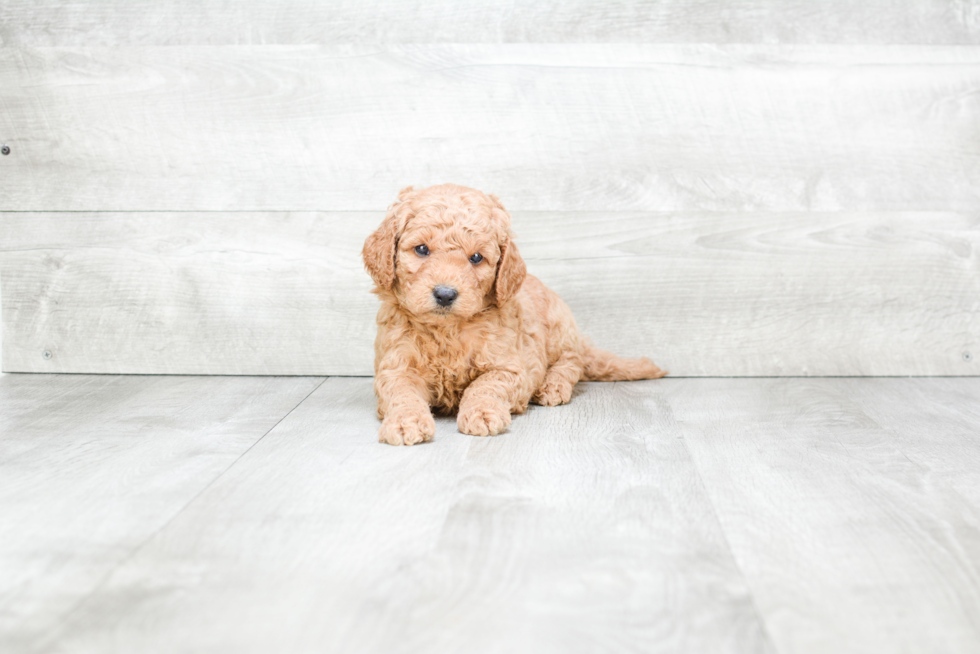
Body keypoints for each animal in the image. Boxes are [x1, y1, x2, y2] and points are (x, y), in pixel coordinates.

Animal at [364, 184, 668, 446]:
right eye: (422, 249)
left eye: (476, 258)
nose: (445, 294)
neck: (447, 330)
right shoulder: (395, 366)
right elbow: (402, 392)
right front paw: (405, 422)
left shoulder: (510, 368)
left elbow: (485, 385)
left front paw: (482, 413)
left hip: (560, 328)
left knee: (573, 362)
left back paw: (553, 386)